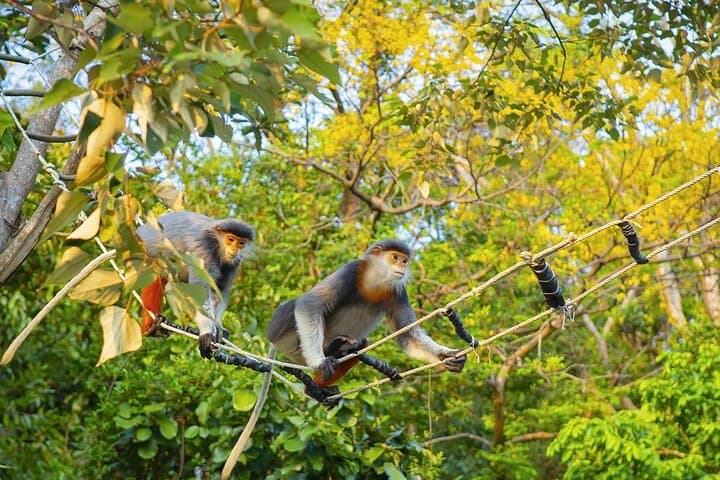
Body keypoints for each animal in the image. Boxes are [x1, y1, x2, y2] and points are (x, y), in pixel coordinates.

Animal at [136, 211, 255, 358]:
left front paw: (217, 330)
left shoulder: (234, 263)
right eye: (230, 239)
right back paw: (151, 326)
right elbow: (200, 289)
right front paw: (207, 333)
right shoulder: (203, 251)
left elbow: (219, 292)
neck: (217, 243)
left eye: (241, 243)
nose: (235, 250)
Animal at [266, 239, 466, 387]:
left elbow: (407, 334)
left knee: (360, 344)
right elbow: (310, 303)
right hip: (285, 338)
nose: (402, 267)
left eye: (404, 260)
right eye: (395, 257)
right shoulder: (352, 269)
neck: (374, 281)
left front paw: (446, 355)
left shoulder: (397, 291)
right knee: (294, 305)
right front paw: (319, 361)